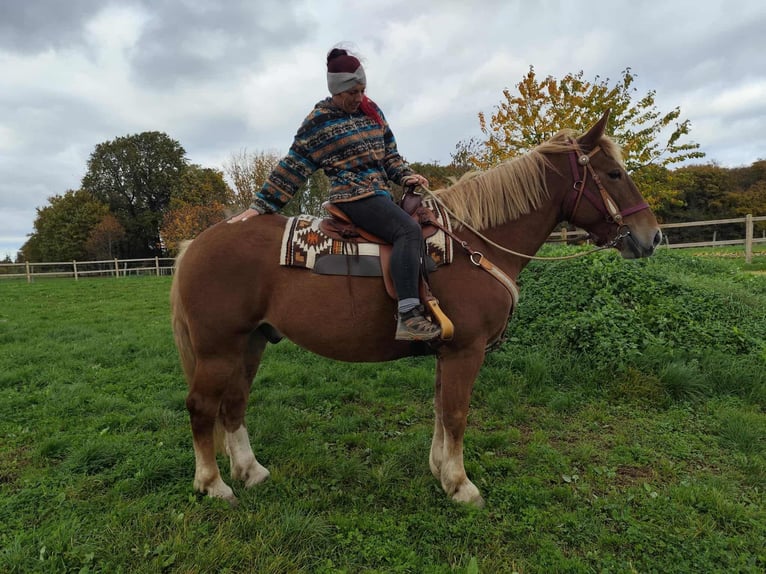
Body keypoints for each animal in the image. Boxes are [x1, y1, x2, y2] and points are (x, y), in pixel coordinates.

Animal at [170, 111, 662, 507]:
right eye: (613, 174)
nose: (652, 236)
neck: (475, 245)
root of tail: (197, 244)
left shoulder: (449, 351)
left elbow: (441, 411)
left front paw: (441, 471)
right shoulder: (466, 350)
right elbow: (457, 414)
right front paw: (462, 485)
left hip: (251, 343)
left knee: (234, 403)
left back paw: (250, 472)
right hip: (218, 348)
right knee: (201, 406)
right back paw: (213, 484)